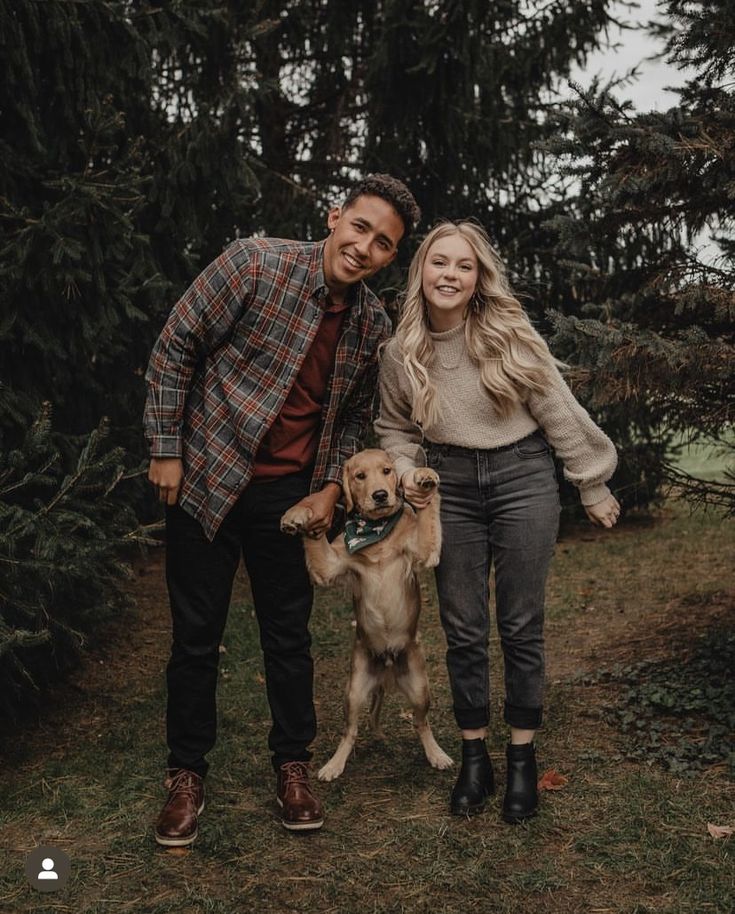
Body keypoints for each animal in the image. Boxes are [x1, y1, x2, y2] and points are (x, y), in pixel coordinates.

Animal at [282, 448, 454, 776]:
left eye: (387, 470)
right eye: (360, 476)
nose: (380, 495)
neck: (377, 536)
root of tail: (386, 663)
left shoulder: (425, 551)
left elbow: (427, 512)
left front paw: (424, 477)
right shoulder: (328, 567)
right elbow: (315, 537)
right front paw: (299, 514)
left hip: (420, 688)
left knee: (421, 723)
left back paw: (437, 754)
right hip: (353, 691)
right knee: (350, 731)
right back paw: (334, 765)